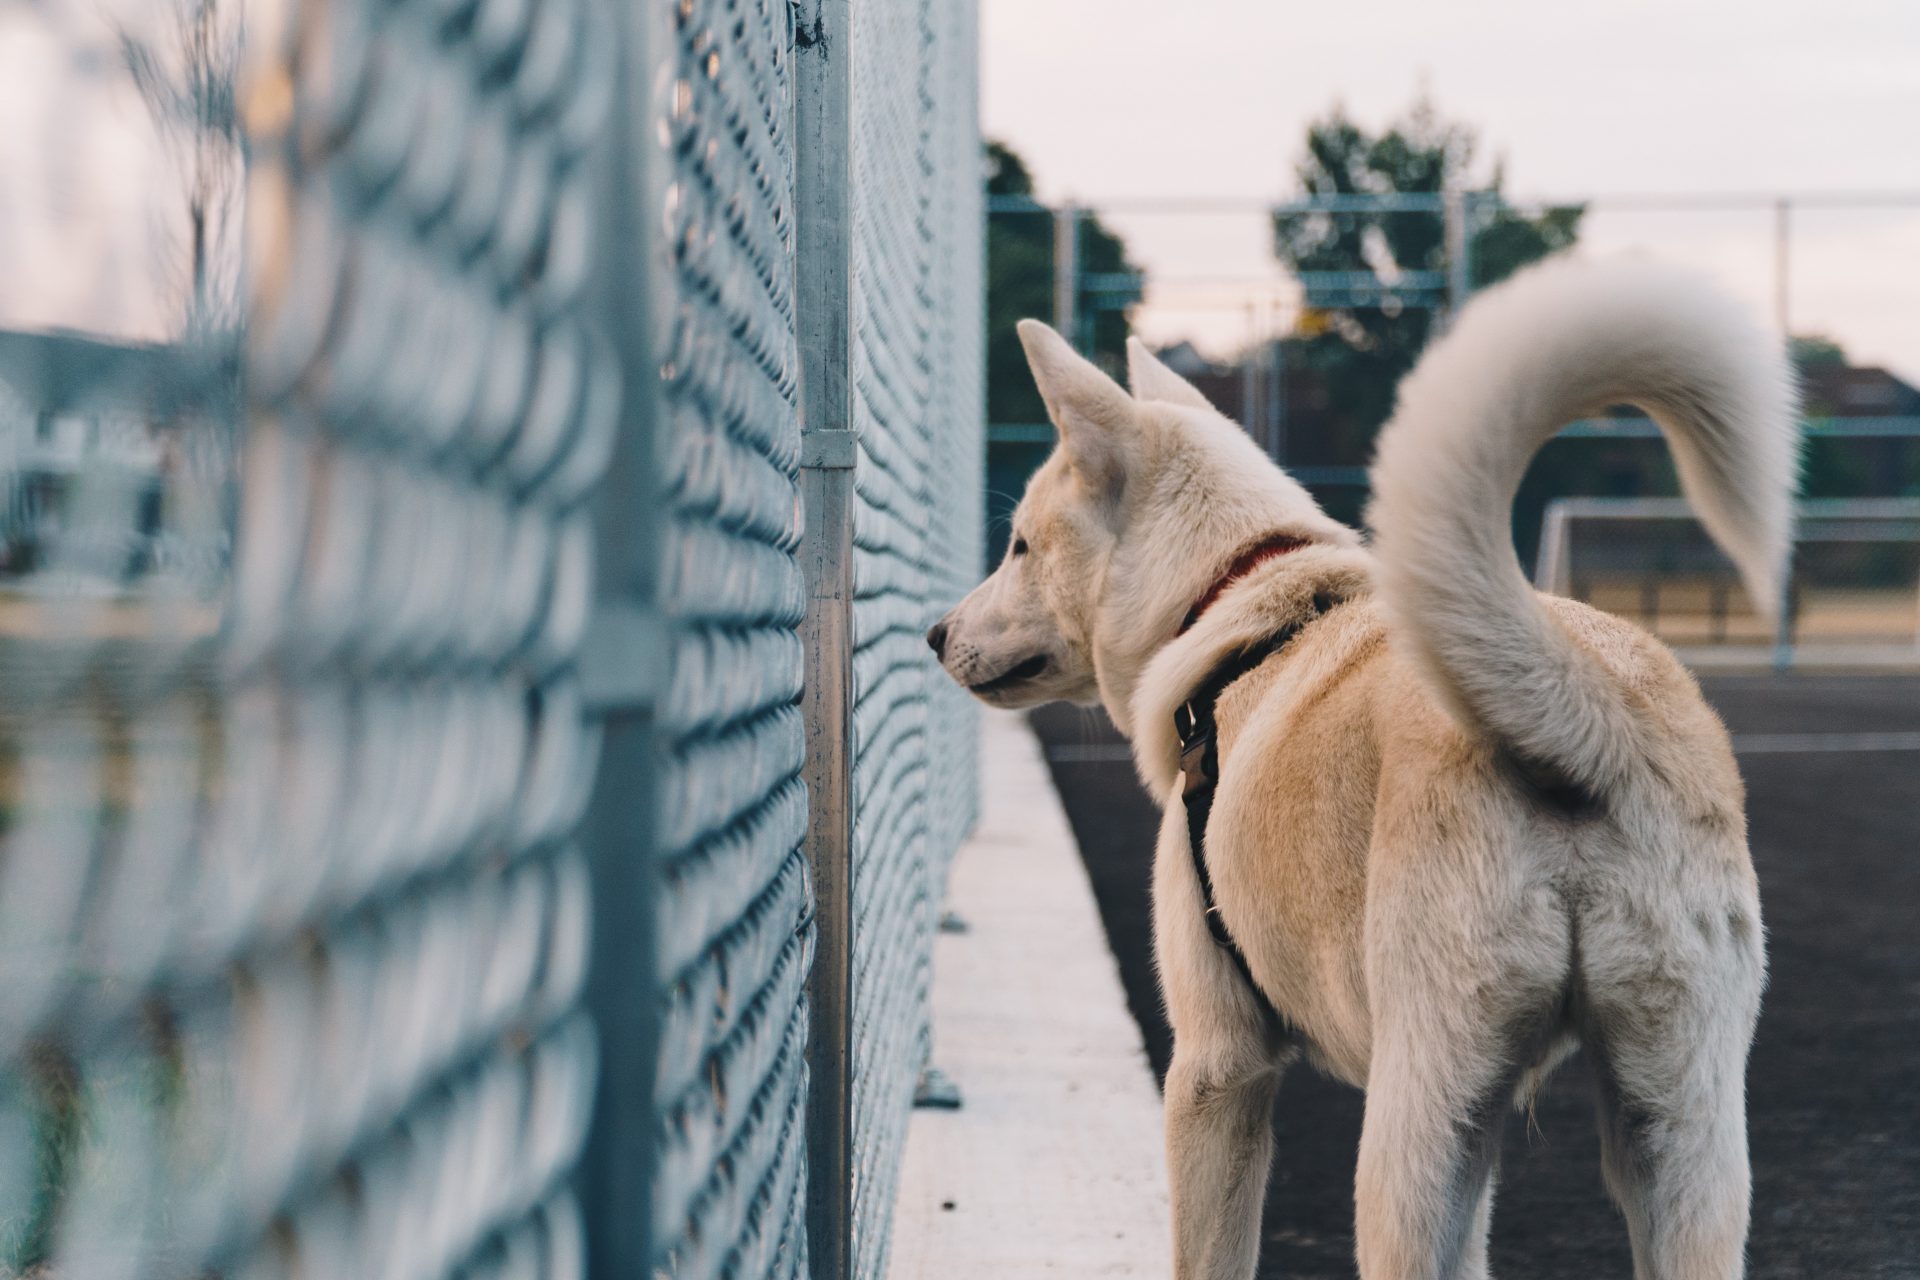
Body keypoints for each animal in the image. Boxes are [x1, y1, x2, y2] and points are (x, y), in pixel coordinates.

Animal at [929, 257, 1797, 1280]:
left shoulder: (1217, 1068)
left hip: (1415, 1131)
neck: (1233, 595)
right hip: (1674, 1131)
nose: (935, 634)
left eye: (1020, 544)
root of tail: (1583, 706)